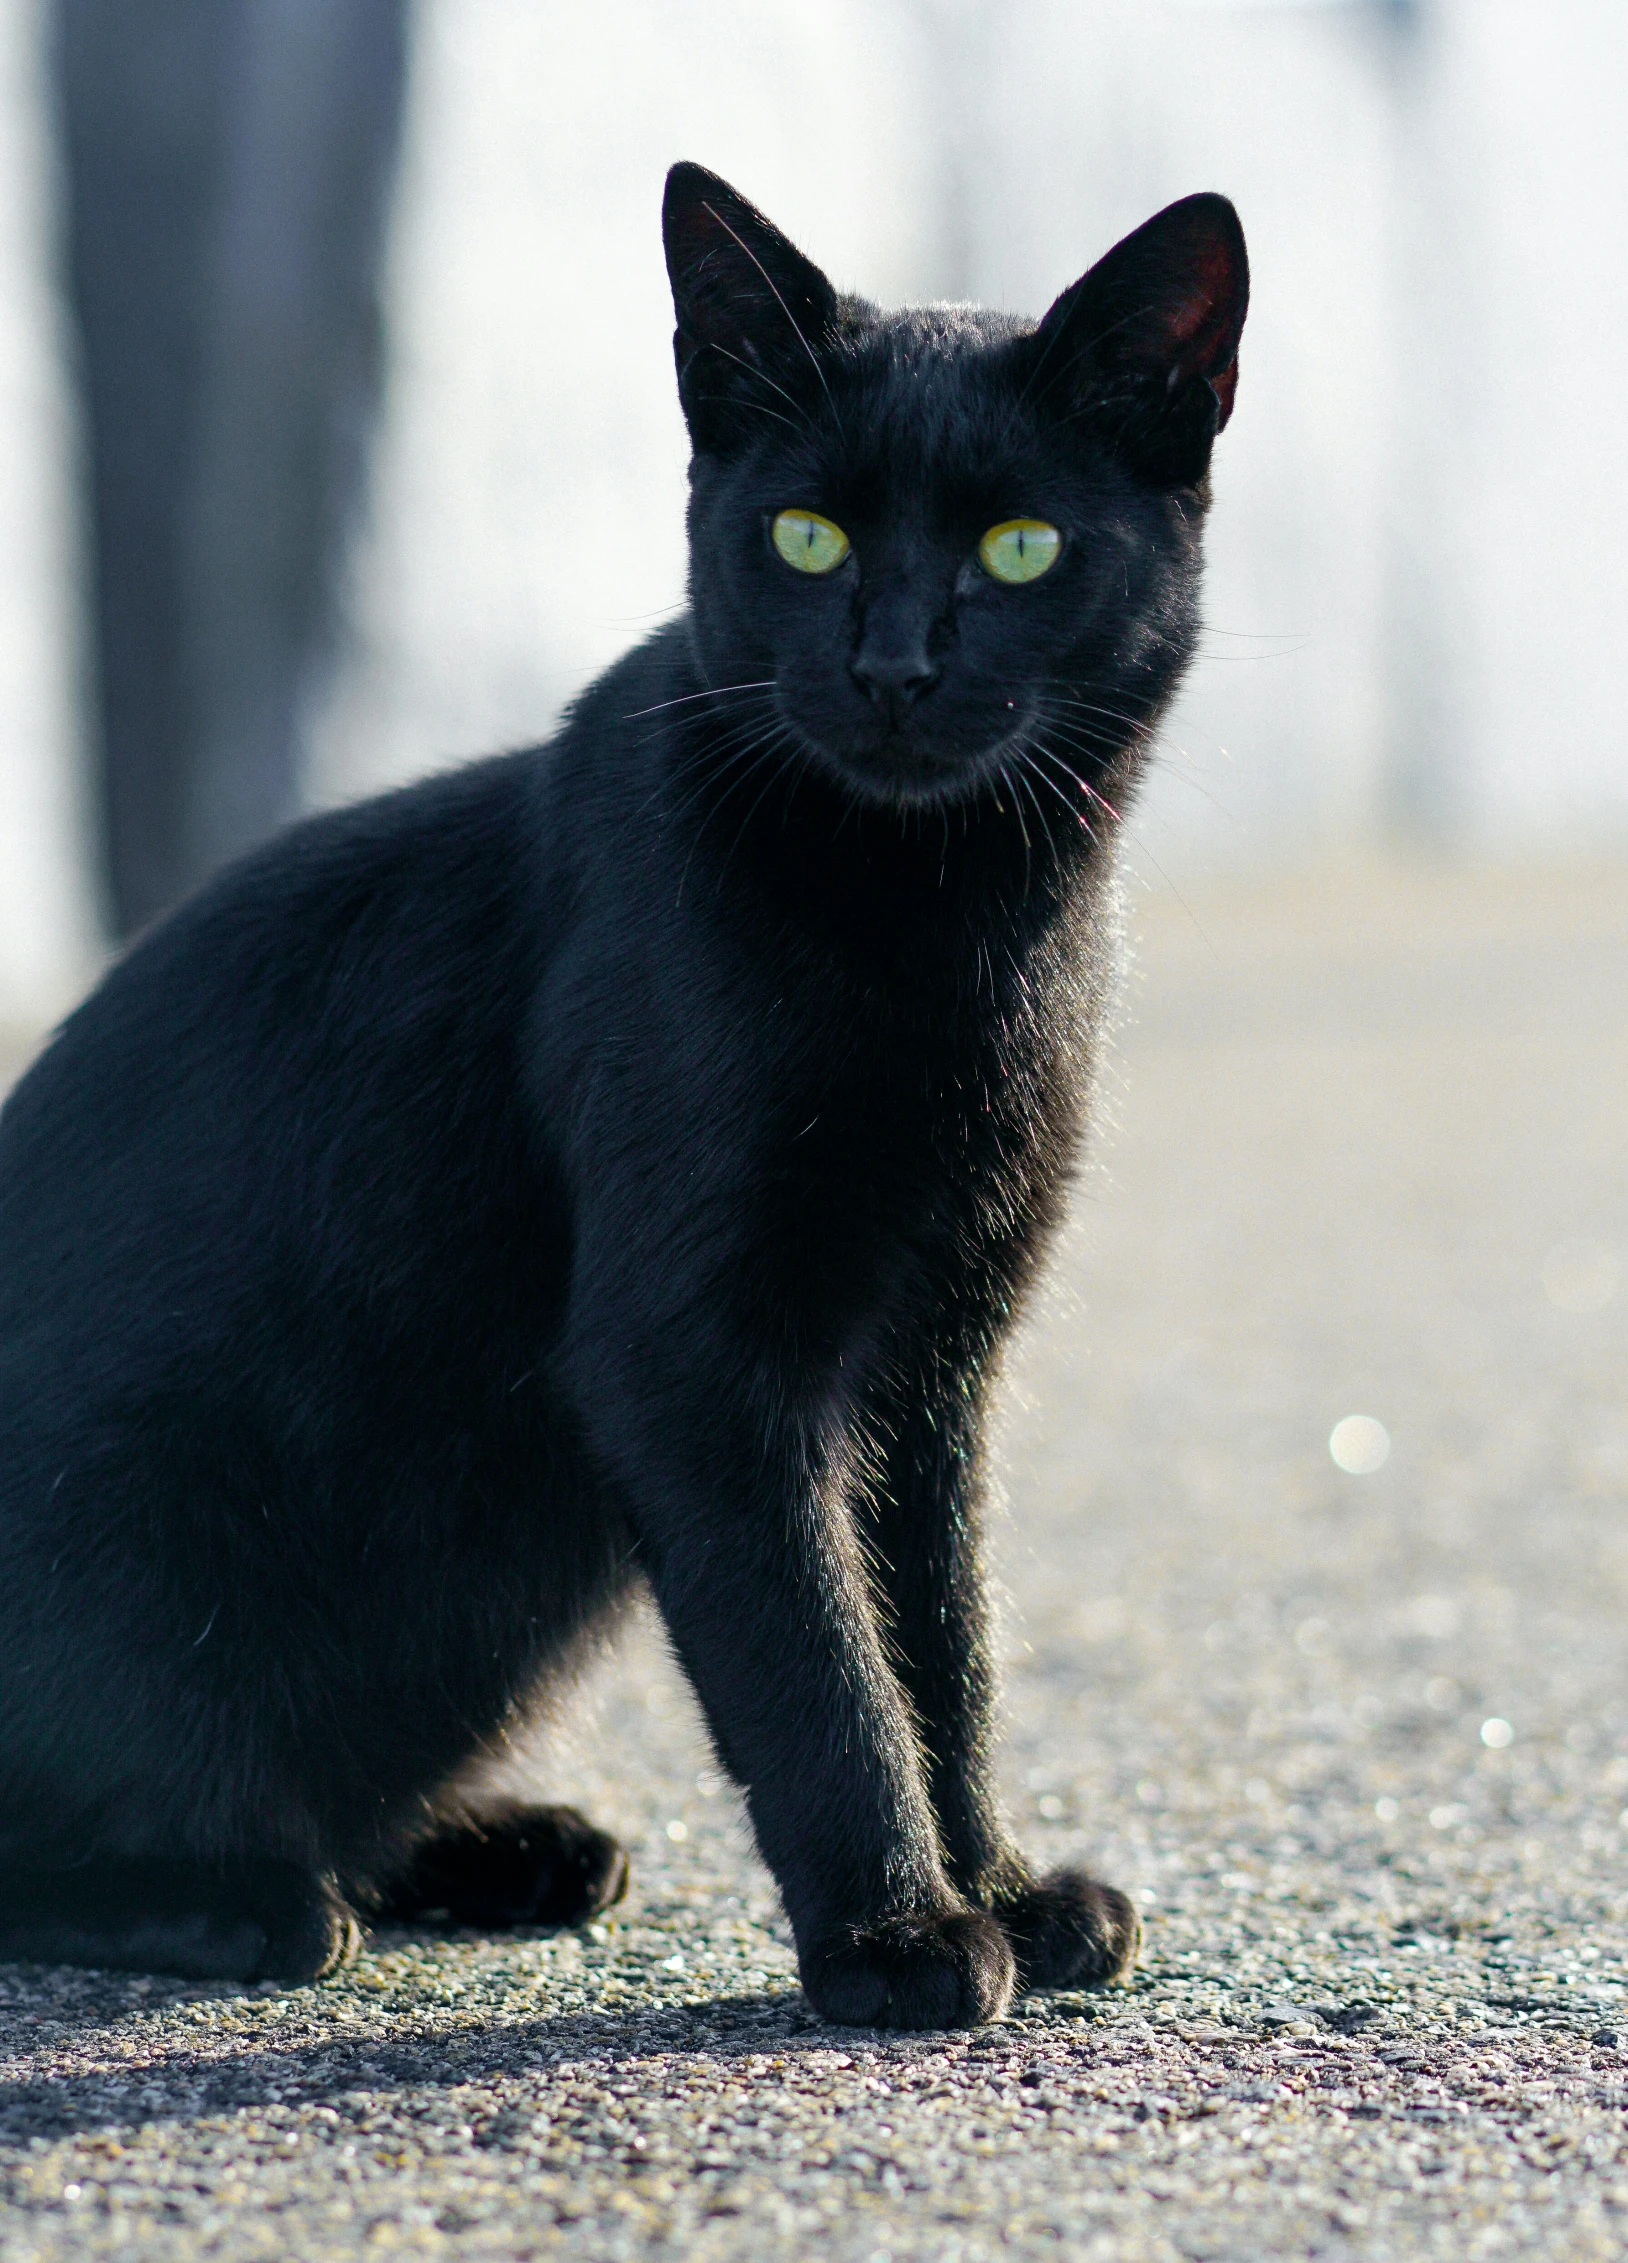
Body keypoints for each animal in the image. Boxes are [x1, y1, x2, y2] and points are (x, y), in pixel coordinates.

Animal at [0, 164, 1249, 2036]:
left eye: (1019, 546)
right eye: (805, 537)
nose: (890, 667)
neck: (939, 921)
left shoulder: (936, 1353)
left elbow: (941, 1636)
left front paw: (1004, 1886)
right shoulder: (693, 1355)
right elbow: (812, 1653)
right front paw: (897, 1931)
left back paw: (505, 1848)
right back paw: (244, 1898)